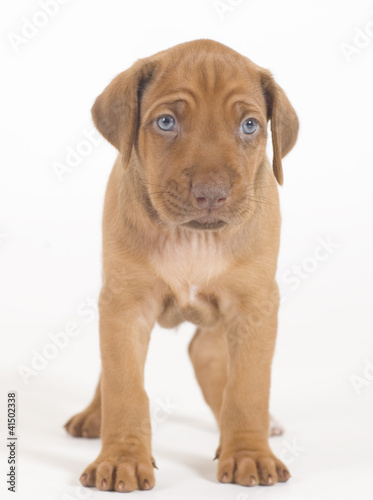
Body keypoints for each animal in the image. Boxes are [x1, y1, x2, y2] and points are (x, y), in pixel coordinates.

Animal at [64, 39, 296, 492]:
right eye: (167, 122)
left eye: (249, 126)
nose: (211, 193)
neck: (193, 239)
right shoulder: (125, 305)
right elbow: (125, 387)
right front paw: (120, 459)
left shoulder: (254, 306)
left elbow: (248, 387)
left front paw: (249, 452)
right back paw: (94, 415)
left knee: (208, 358)